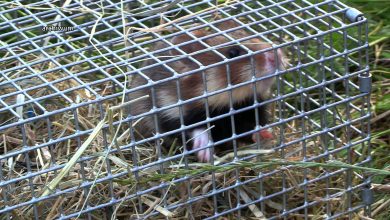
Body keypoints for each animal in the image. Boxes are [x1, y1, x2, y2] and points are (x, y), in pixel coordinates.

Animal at [128, 18, 284, 162]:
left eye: (254, 36)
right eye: (233, 53)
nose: (278, 54)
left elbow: (250, 128)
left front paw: (267, 134)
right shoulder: (168, 114)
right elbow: (193, 128)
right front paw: (205, 154)